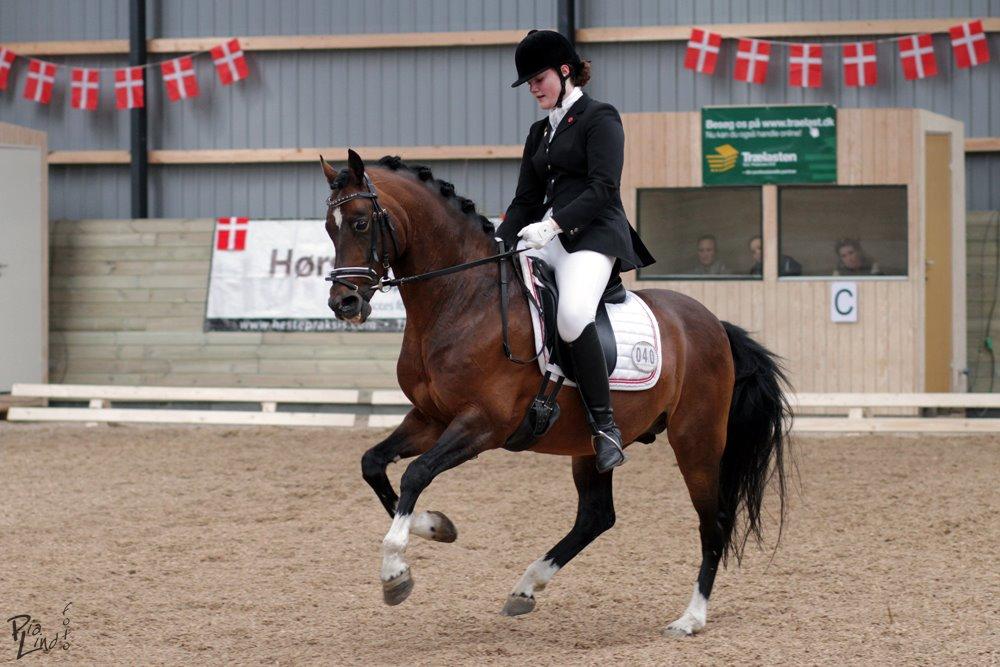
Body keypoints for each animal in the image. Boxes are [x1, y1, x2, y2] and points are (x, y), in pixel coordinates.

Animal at [320, 149, 790, 637]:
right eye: (328, 227)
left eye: (359, 222)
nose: (344, 304)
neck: (463, 299)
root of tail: (713, 323)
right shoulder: (431, 418)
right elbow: (373, 464)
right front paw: (434, 527)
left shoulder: (483, 423)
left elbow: (415, 474)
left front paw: (395, 571)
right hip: (590, 445)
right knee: (597, 516)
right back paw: (526, 587)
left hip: (696, 440)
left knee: (712, 521)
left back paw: (690, 618)